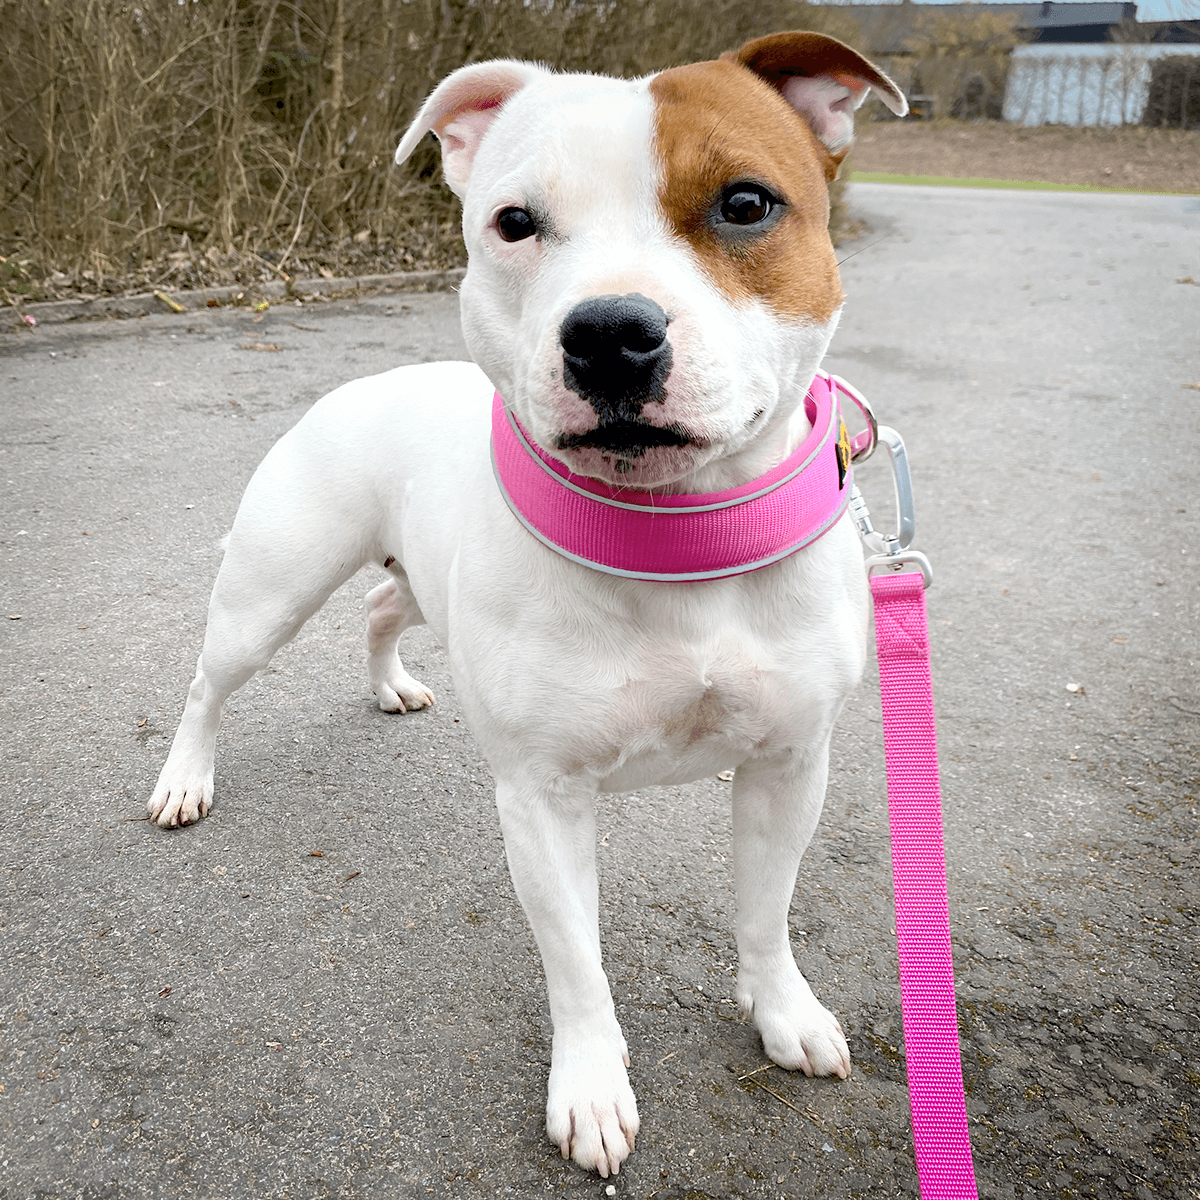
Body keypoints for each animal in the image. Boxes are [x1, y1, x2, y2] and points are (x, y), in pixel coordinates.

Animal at [145, 32, 902, 1176]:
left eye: (745, 204)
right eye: (514, 223)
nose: (611, 331)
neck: (676, 537)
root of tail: (362, 385)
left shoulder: (788, 764)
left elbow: (767, 911)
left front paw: (783, 1012)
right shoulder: (543, 801)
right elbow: (577, 964)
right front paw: (590, 1088)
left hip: (418, 580)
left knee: (380, 609)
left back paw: (392, 684)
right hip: (268, 593)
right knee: (208, 681)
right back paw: (185, 778)